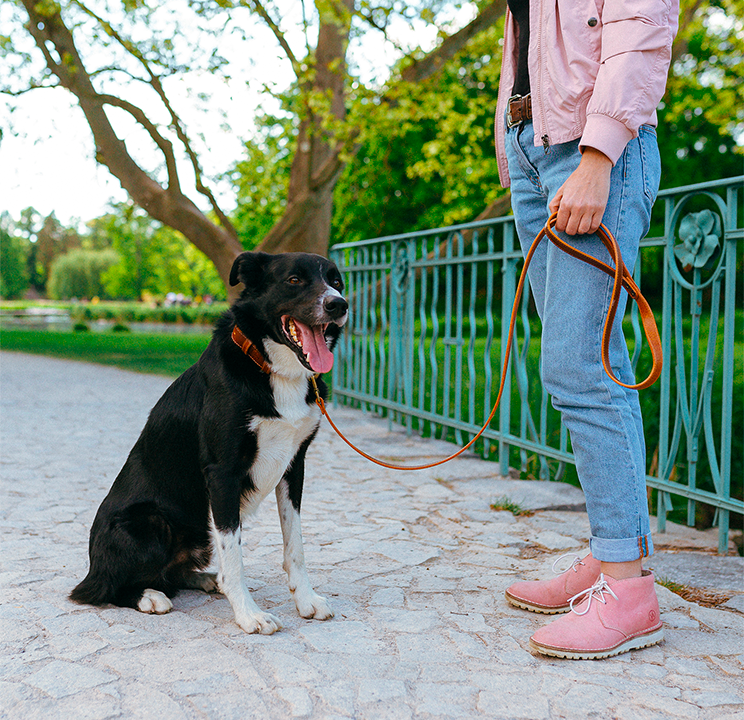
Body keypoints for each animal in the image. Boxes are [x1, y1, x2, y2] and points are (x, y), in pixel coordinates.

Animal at [70, 251, 348, 634]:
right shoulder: (222, 473)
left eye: (336, 282)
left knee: (170, 573)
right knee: (104, 589)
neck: (272, 368)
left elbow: (295, 546)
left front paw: (306, 600)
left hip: (199, 532)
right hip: (152, 522)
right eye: (294, 280)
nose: (339, 305)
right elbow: (235, 556)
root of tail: (91, 567)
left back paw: (203, 579)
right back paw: (149, 596)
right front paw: (249, 614)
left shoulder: (295, 467)